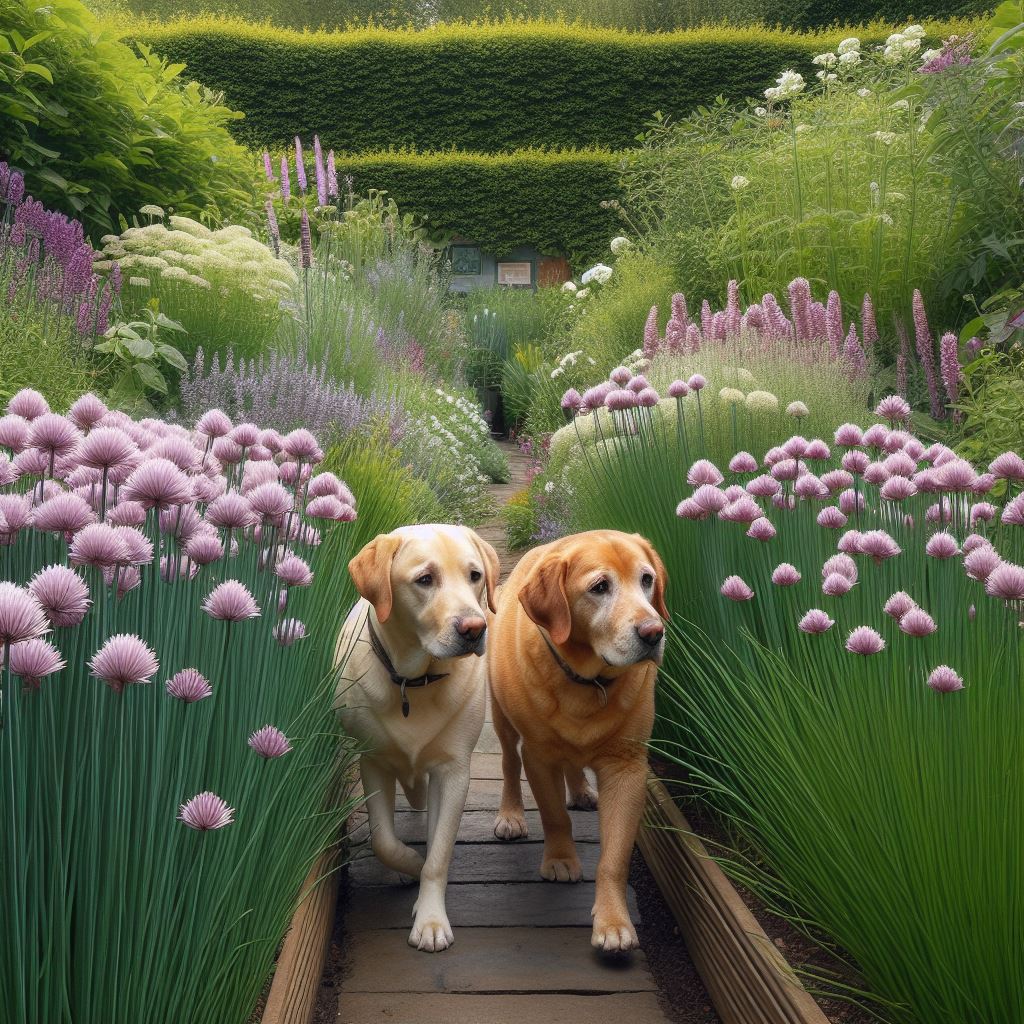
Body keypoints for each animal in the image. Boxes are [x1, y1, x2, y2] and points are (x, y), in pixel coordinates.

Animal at [335, 528, 495, 950]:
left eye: (475, 576)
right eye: (425, 579)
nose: (474, 628)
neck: (415, 681)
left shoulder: (453, 772)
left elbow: (438, 856)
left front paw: (431, 919)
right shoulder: (373, 761)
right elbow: (384, 841)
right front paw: (409, 864)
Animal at [485, 528, 663, 950]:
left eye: (647, 580)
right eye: (600, 587)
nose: (655, 633)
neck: (587, 681)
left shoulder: (627, 769)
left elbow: (614, 856)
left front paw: (613, 921)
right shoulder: (539, 757)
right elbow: (554, 816)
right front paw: (561, 860)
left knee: (575, 766)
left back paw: (581, 790)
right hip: (502, 720)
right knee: (509, 765)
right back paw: (511, 815)